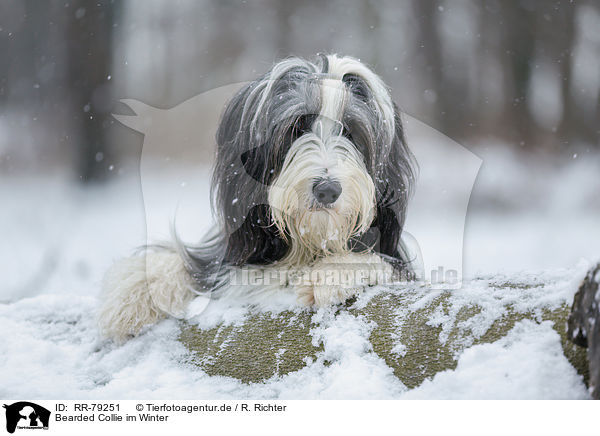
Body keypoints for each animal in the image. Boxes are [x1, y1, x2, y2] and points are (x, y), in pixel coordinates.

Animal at [98, 54, 418, 340]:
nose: (328, 190)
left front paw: (329, 275)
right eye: (296, 128)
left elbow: (383, 262)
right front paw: (130, 300)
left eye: (350, 133)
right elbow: (186, 263)